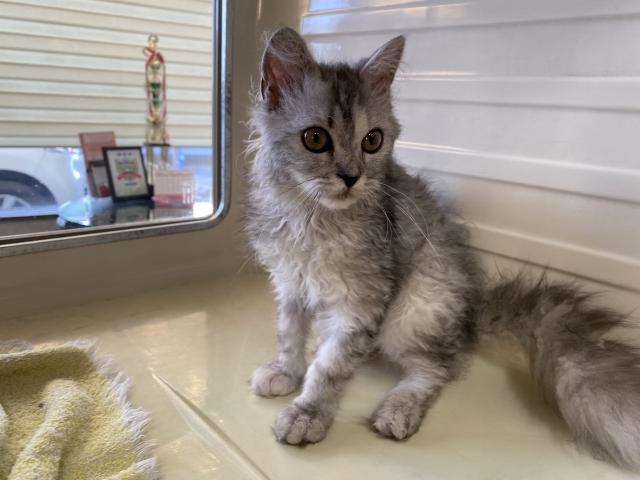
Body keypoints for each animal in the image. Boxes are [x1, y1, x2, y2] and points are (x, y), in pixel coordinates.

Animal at [246, 27, 640, 471]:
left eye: (372, 141)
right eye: (315, 139)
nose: (351, 177)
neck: (312, 220)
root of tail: (471, 313)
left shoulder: (360, 304)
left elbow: (330, 368)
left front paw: (308, 413)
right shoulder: (291, 285)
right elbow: (290, 336)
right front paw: (286, 371)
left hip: (416, 308)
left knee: (438, 368)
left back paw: (399, 407)